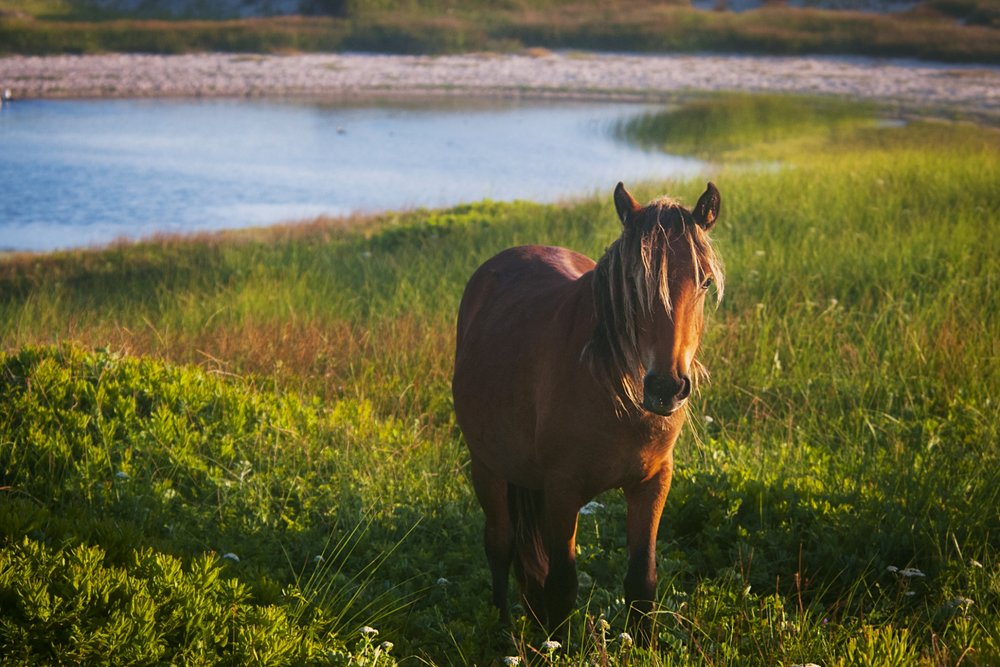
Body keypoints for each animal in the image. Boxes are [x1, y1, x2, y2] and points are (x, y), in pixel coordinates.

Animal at [454, 180, 728, 644]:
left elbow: (642, 580)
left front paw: (643, 647)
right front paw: (557, 647)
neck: (620, 397)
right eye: (632, 282)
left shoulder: (652, 484)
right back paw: (504, 630)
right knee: (500, 546)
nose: (666, 387)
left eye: (705, 282)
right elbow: (562, 584)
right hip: (487, 467)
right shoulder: (562, 490)